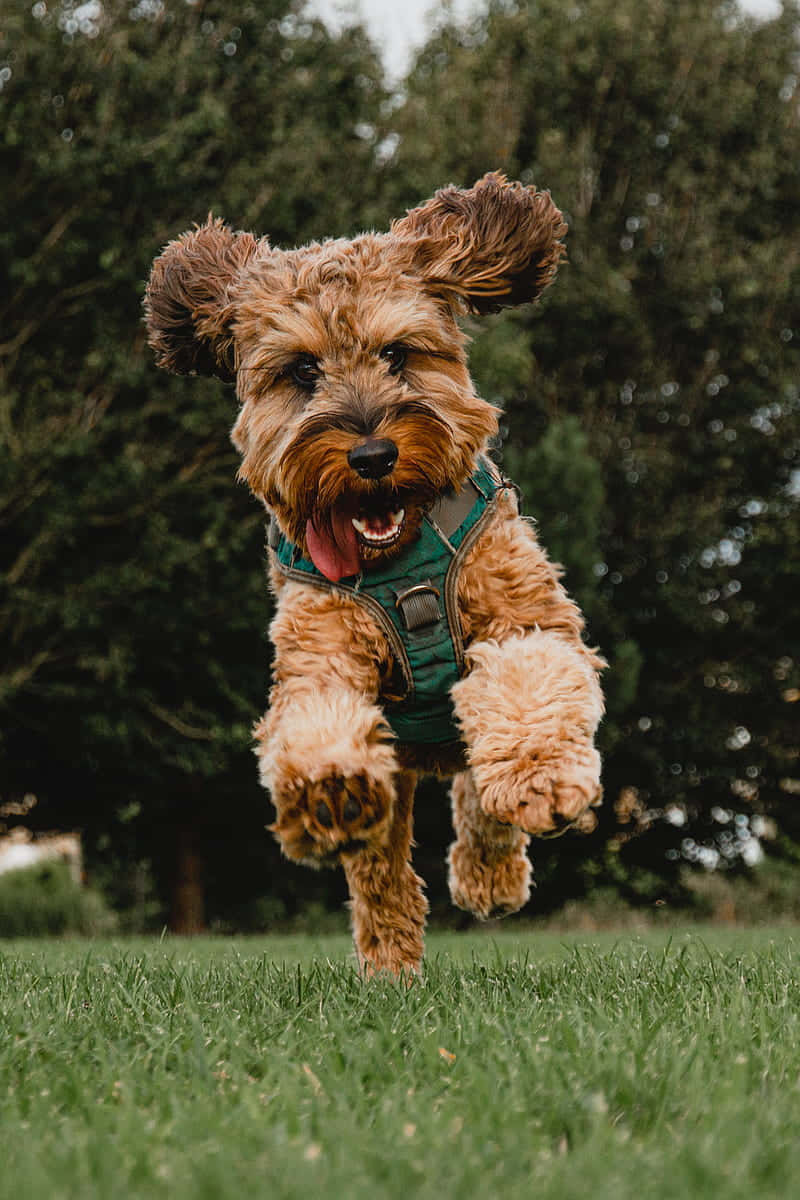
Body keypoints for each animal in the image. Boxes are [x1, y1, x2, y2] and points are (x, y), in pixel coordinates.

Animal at [146, 171, 604, 974]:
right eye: (302, 371)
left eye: (398, 354)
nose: (370, 455)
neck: (401, 563)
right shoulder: (319, 655)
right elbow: (317, 720)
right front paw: (327, 788)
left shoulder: (525, 620)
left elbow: (528, 685)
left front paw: (542, 776)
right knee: (381, 867)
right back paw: (387, 955)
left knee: (477, 793)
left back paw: (489, 876)